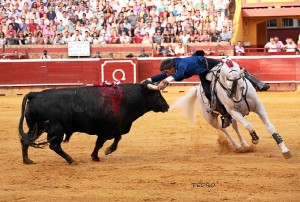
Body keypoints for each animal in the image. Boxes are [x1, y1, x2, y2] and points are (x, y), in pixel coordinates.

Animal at [18, 82, 169, 164]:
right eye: (157, 94)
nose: (166, 106)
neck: (124, 99)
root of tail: (35, 94)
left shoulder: (119, 127)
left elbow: (117, 139)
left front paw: (108, 150)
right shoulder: (106, 129)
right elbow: (99, 143)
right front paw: (95, 156)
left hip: (36, 128)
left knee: (25, 140)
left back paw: (27, 161)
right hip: (56, 129)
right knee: (54, 146)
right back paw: (71, 160)